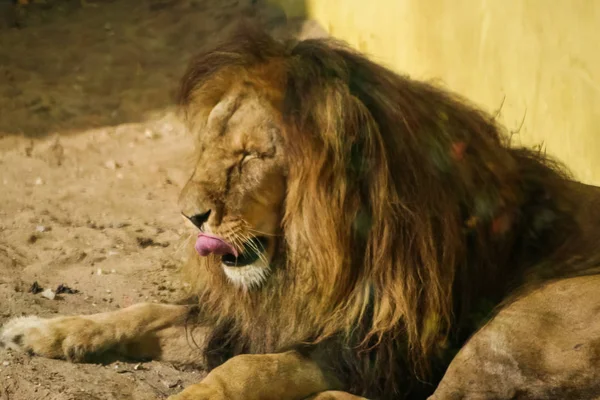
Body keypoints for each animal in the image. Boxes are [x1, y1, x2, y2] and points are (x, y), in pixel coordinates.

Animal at [1, 22, 600, 400]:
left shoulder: (371, 353)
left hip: (514, 324)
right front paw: (38, 330)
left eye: (250, 156)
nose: (189, 216)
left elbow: (242, 373)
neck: (311, 260)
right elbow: (144, 311)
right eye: (210, 147)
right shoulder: (254, 321)